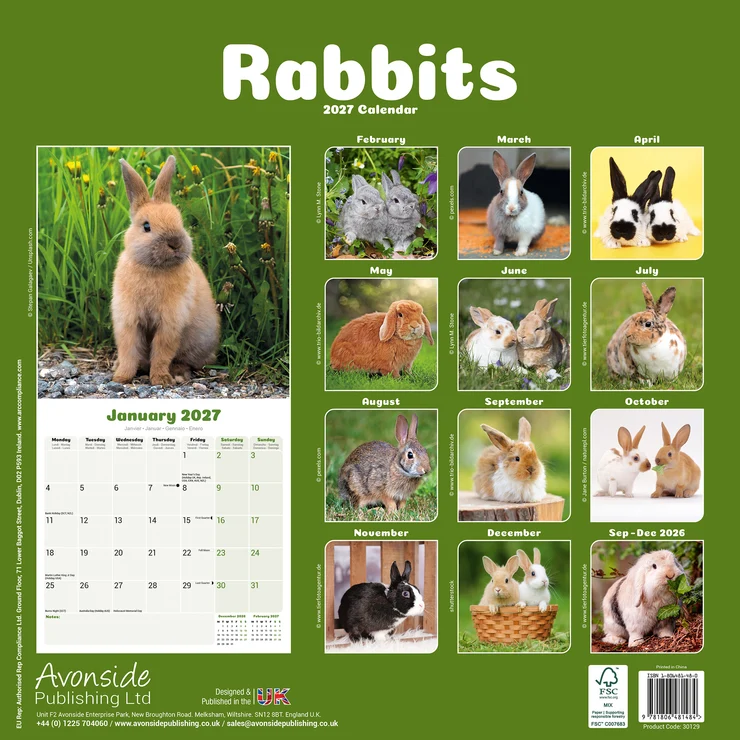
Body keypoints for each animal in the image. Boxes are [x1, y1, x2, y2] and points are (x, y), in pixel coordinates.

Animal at [111, 156, 220, 387]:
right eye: (146, 226)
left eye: (180, 221)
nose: (175, 243)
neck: (154, 268)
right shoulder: (128, 320)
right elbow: (128, 350)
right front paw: (121, 377)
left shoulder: (170, 323)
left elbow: (162, 352)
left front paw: (161, 379)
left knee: (187, 361)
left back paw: (178, 373)